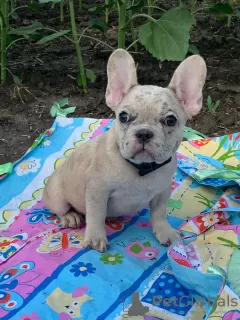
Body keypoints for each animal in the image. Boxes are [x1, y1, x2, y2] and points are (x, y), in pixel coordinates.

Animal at [44, 48, 207, 251]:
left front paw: (164, 231)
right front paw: (95, 238)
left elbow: (159, 213)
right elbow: (96, 215)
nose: (144, 133)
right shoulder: (97, 191)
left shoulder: (162, 191)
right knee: (60, 209)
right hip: (57, 196)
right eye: (123, 117)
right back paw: (70, 216)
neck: (142, 168)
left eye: (170, 120)